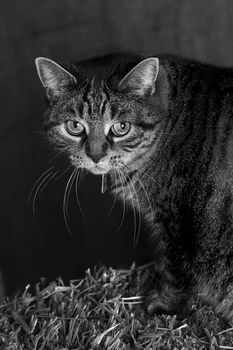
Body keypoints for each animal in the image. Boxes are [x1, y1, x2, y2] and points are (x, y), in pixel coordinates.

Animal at [34, 52, 233, 320]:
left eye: (121, 127)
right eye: (74, 127)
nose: (95, 155)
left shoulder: (179, 222)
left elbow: (177, 272)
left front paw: (166, 307)